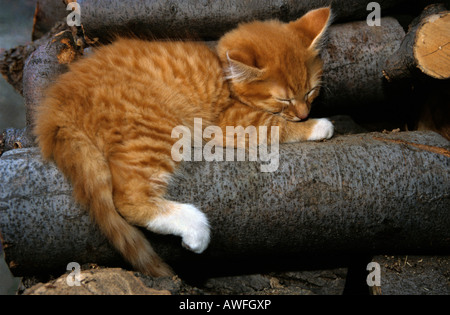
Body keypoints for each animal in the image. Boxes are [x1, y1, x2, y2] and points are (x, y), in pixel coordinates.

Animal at [34, 7, 334, 276]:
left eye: (310, 91)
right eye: (284, 99)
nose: (304, 113)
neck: (224, 74)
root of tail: (56, 109)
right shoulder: (227, 122)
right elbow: (273, 125)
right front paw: (317, 125)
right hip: (157, 129)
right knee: (128, 199)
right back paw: (195, 228)